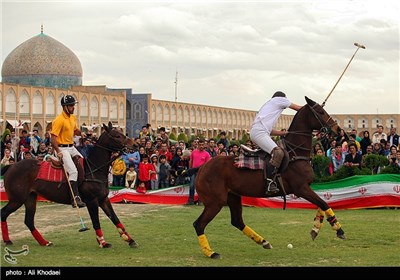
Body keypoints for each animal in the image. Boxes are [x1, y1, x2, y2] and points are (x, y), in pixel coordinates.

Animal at [1, 121, 139, 248]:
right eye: (117, 136)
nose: (135, 144)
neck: (94, 169)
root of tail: (11, 167)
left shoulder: (103, 199)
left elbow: (115, 218)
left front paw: (130, 240)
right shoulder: (92, 201)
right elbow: (96, 221)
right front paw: (102, 242)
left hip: (30, 198)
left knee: (29, 221)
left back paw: (44, 242)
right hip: (17, 199)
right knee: (4, 213)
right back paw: (8, 240)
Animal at [192, 96, 346, 258]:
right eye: (321, 111)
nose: (338, 129)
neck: (295, 152)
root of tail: (202, 168)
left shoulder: (305, 188)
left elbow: (322, 204)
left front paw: (316, 228)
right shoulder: (301, 188)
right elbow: (324, 203)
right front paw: (338, 230)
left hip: (233, 196)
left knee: (237, 221)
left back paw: (264, 242)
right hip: (215, 201)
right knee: (199, 224)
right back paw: (211, 252)